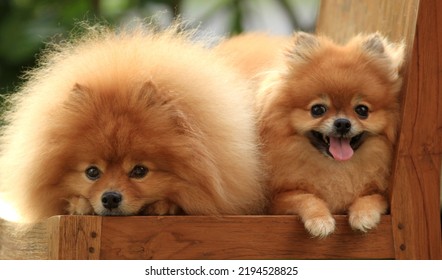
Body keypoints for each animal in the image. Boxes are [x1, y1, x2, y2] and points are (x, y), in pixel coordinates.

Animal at [218, 32, 404, 238]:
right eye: (317, 110)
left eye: (362, 110)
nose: (342, 123)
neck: (336, 168)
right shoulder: (277, 200)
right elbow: (305, 197)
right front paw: (320, 221)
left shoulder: (381, 195)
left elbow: (373, 197)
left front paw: (364, 215)